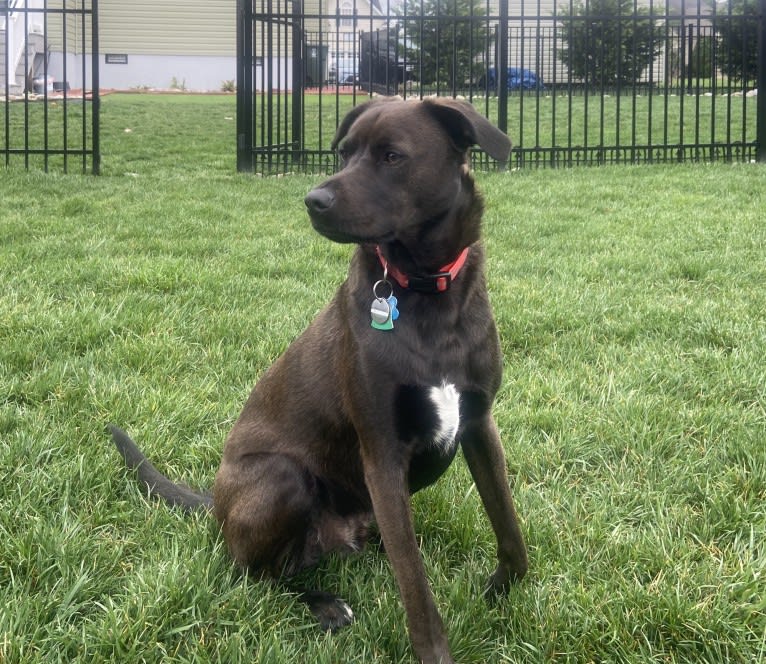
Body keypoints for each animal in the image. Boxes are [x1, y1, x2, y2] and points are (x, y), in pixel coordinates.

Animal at [111, 94, 532, 664]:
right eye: (345, 152)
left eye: (392, 156)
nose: (314, 200)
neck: (426, 293)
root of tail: (215, 508)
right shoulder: (382, 454)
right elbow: (416, 587)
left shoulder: (480, 424)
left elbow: (508, 526)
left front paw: (505, 591)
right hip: (281, 478)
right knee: (255, 576)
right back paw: (322, 604)